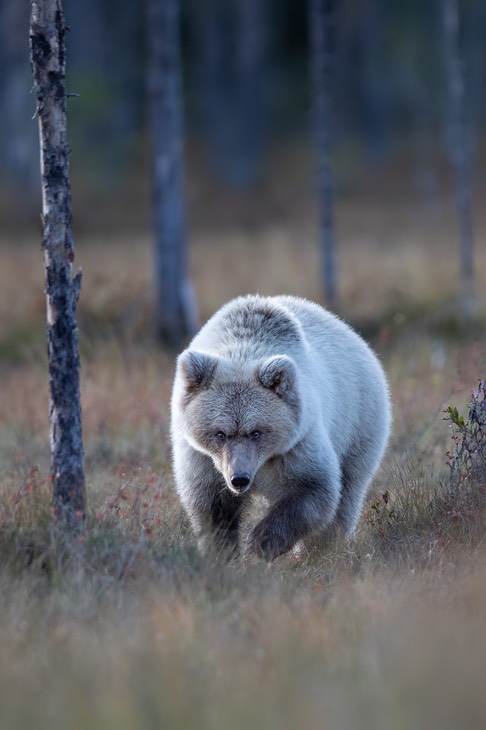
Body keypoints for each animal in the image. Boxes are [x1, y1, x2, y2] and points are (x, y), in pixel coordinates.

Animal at [171, 292, 392, 560]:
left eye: (256, 431)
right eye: (220, 433)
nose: (239, 479)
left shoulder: (297, 444)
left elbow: (314, 489)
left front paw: (261, 541)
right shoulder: (202, 458)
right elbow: (212, 504)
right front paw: (221, 551)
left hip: (360, 421)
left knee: (348, 488)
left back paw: (325, 547)